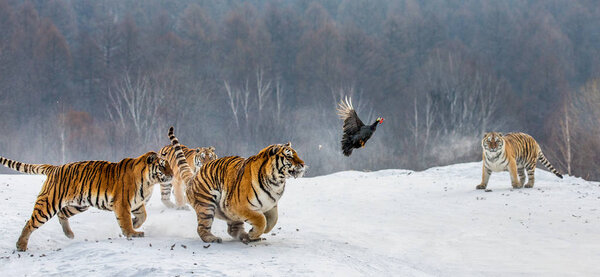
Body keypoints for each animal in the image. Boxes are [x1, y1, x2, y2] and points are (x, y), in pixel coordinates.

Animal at [0, 151, 173, 250]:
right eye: (162, 166)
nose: (172, 175)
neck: (150, 182)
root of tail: (54, 168)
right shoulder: (123, 204)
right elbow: (125, 220)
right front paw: (132, 232)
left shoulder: (137, 203)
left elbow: (143, 216)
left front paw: (135, 224)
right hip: (48, 204)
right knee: (30, 223)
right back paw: (21, 245)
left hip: (79, 204)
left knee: (62, 214)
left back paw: (69, 234)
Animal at [166, 126, 304, 243]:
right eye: (289, 156)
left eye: (297, 154)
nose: (302, 164)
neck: (276, 182)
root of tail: (193, 177)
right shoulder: (240, 206)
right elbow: (261, 220)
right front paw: (254, 233)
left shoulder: (271, 204)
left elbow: (273, 221)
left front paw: (258, 233)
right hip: (206, 205)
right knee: (202, 228)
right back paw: (213, 238)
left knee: (233, 230)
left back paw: (245, 236)